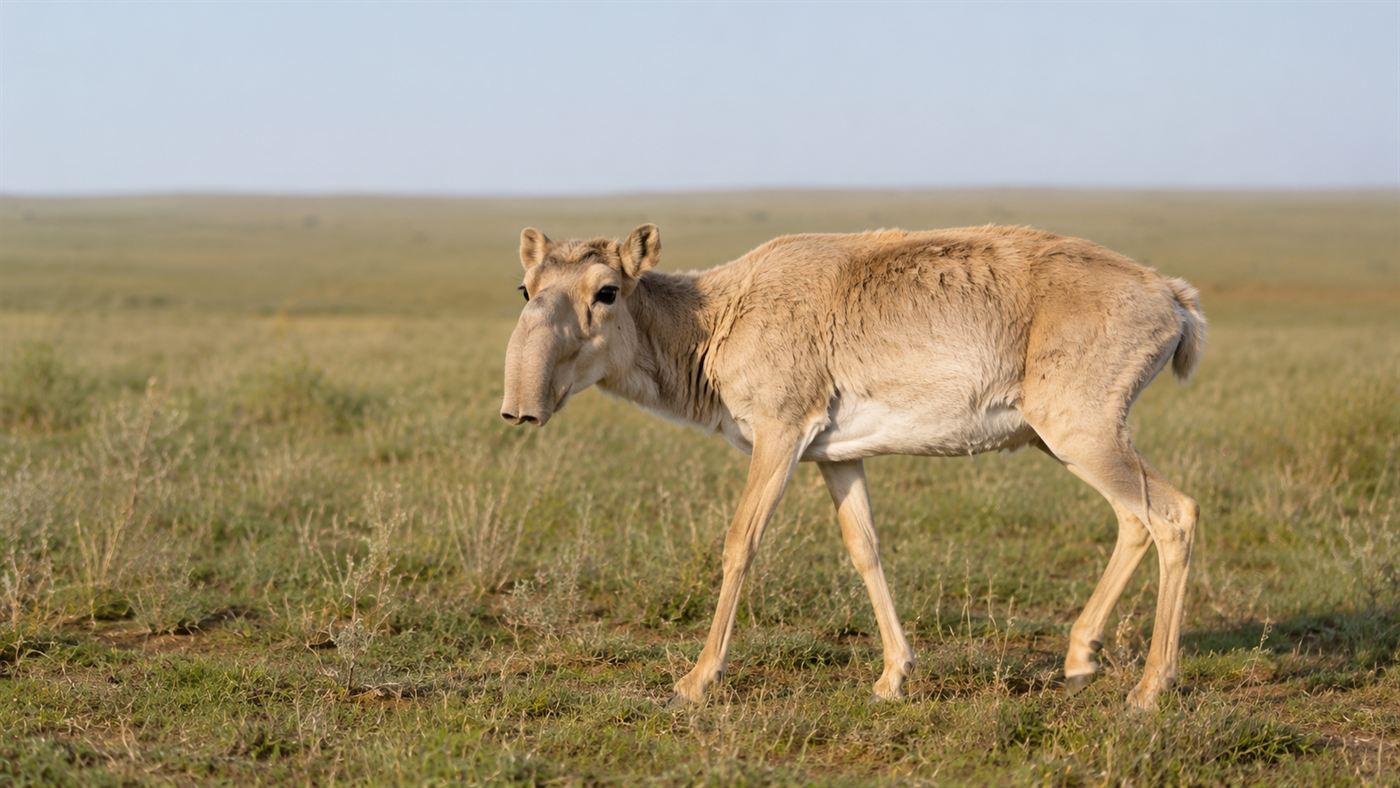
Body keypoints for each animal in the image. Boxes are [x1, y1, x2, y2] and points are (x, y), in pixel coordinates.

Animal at [499, 223, 1205, 709]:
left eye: (606, 291)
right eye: (527, 288)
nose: (520, 409)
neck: (716, 318)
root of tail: (1174, 297)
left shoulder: (780, 434)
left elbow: (740, 542)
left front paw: (696, 680)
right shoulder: (837, 459)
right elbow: (864, 548)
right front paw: (894, 676)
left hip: (1082, 433)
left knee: (1174, 514)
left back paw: (1150, 689)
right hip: (1065, 441)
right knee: (1136, 520)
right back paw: (1082, 656)